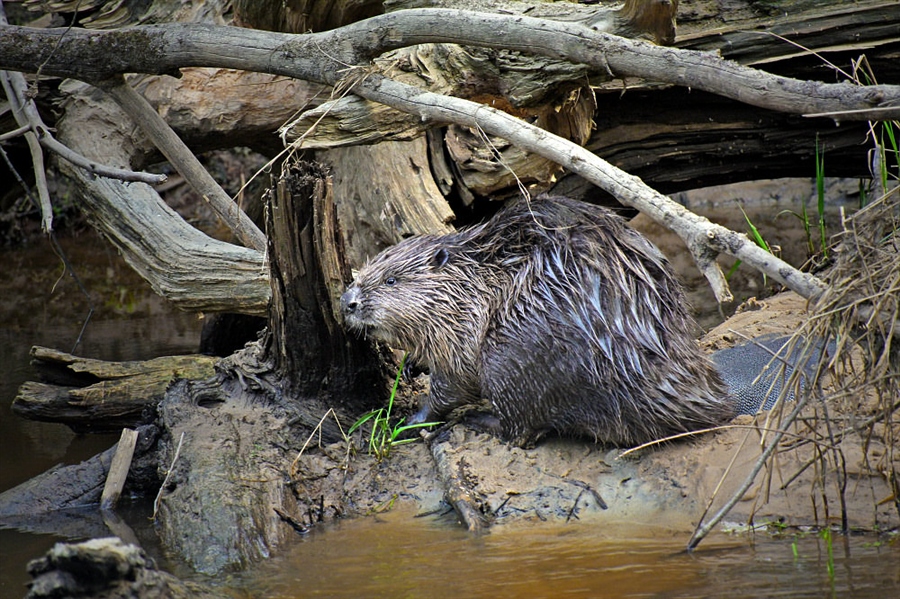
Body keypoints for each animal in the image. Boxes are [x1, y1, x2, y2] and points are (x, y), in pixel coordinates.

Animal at [342, 195, 740, 448]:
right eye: (363, 271)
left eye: (392, 280)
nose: (349, 302)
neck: (473, 278)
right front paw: (410, 365)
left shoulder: (462, 328)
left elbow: (454, 383)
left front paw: (410, 419)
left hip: (509, 355)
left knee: (520, 429)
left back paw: (476, 421)